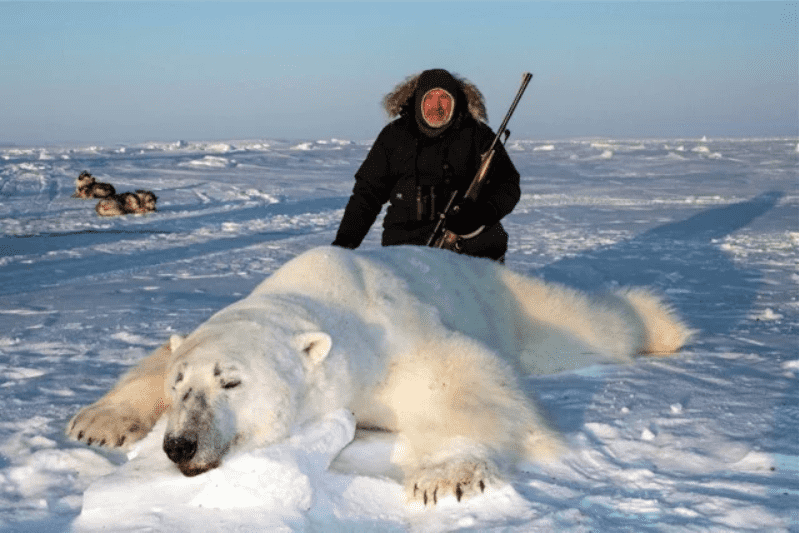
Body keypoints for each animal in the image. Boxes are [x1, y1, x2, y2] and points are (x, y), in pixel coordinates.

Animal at [67, 245, 691, 506]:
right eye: (179, 386)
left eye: (232, 382)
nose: (179, 445)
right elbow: (153, 356)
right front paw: (97, 423)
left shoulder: (392, 341)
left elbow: (458, 379)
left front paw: (443, 478)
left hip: (516, 308)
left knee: (583, 322)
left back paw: (664, 326)